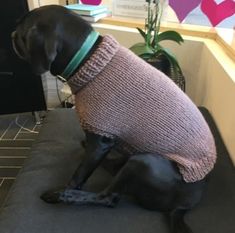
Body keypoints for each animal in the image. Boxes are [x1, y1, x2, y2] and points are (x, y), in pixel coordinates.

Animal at [11, 5, 216, 233]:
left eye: (21, 29)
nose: (11, 35)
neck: (89, 58)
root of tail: (184, 206)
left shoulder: (100, 141)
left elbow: (78, 176)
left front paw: (67, 189)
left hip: (144, 161)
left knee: (108, 197)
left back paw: (61, 195)